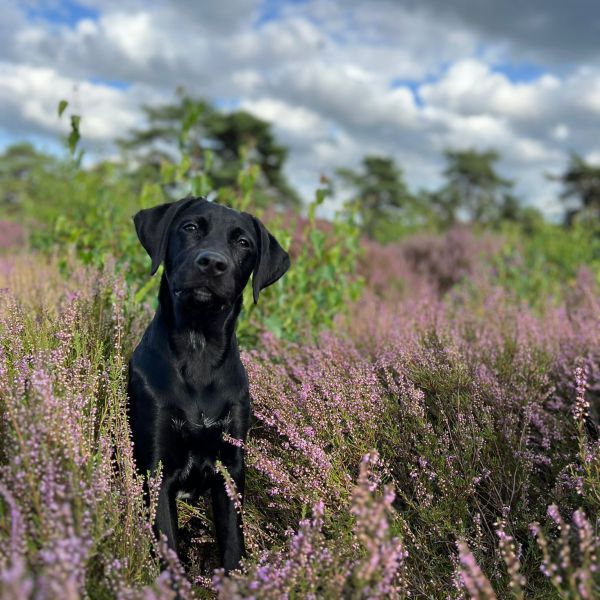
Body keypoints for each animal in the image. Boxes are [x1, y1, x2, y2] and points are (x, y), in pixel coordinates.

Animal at [129, 197, 290, 572]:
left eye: (243, 242)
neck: (199, 348)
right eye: (190, 227)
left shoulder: (230, 468)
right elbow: (168, 550)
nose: (212, 263)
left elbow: (232, 545)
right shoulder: (156, 469)